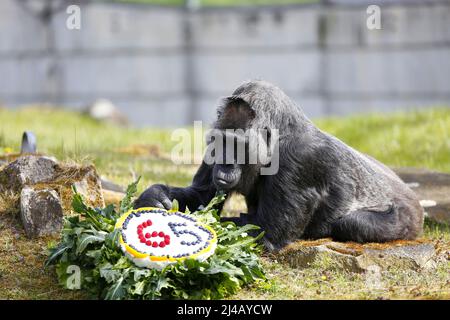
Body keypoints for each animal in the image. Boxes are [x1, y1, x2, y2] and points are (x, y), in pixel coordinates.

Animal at [135, 80, 424, 250]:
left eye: (238, 146)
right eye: (221, 142)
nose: (225, 164)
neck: (281, 132)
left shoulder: (300, 158)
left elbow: (262, 235)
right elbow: (201, 195)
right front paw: (154, 197)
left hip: (409, 219)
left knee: (353, 224)